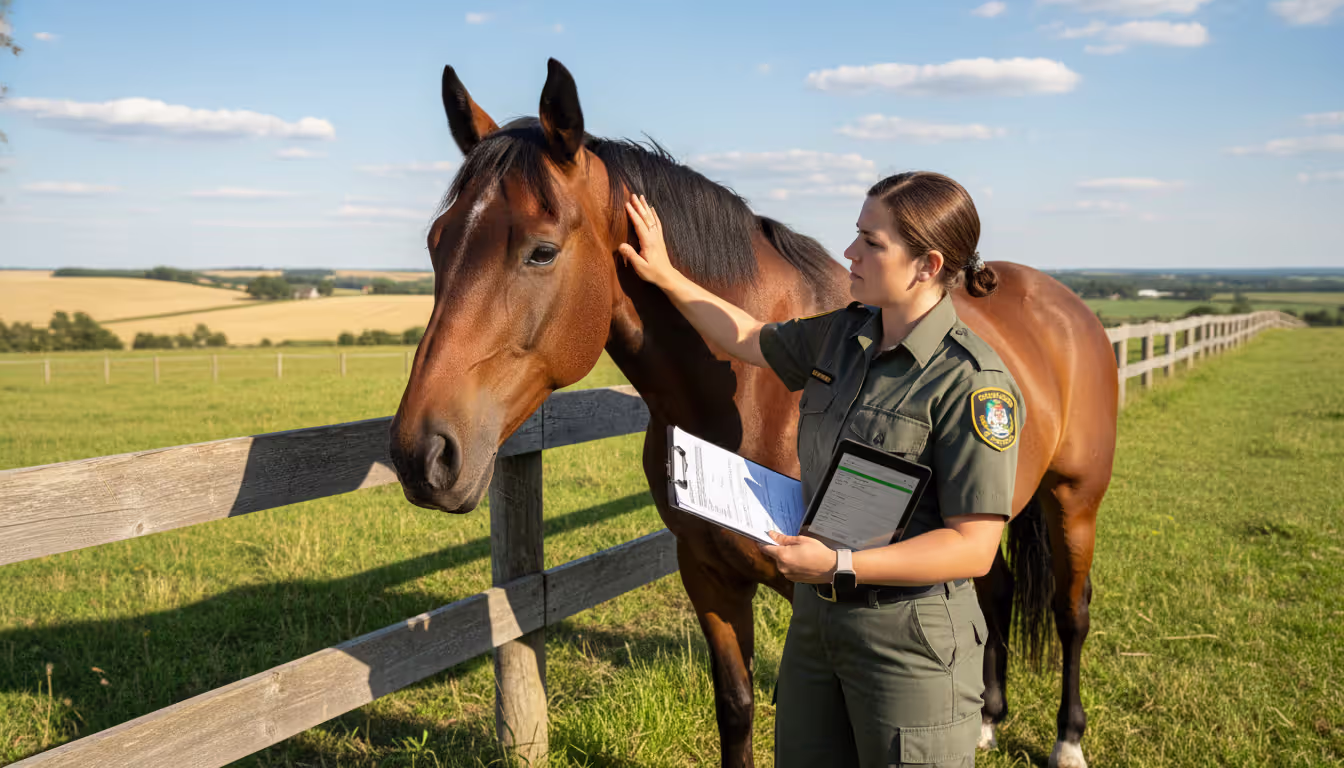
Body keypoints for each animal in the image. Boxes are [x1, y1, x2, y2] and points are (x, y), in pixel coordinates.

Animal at [389, 58, 1116, 768]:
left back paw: (1067, 741)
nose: (421, 455)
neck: (750, 397)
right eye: (436, 243)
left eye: (541, 250)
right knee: (994, 591)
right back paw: (987, 720)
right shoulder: (708, 575)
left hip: (1074, 499)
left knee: (1070, 610)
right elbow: (736, 708)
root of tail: (1064, 304)